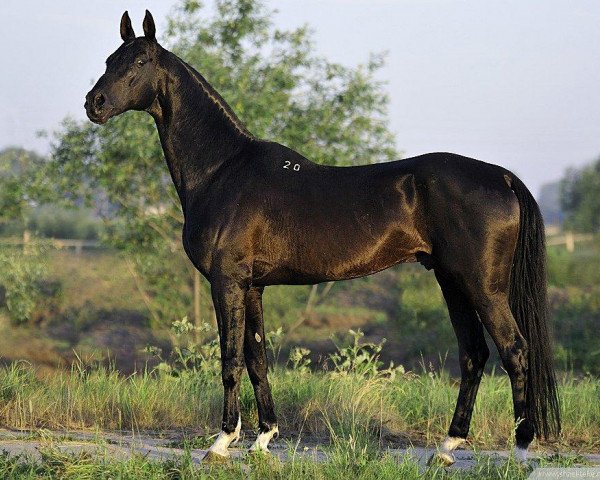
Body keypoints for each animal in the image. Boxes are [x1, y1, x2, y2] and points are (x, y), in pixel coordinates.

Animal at [86, 10, 560, 462]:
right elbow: (257, 359)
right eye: (109, 60)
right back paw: (447, 448)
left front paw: (221, 443)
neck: (222, 170)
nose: (95, 103)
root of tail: (502, 177)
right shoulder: (252, 286)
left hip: (482, 286)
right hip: (452, 281)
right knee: (474, 355)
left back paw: (520, 449)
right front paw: (263, 439)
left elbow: (231, 360)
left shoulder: (227, 281)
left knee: (515, 351)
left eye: (140, 62)